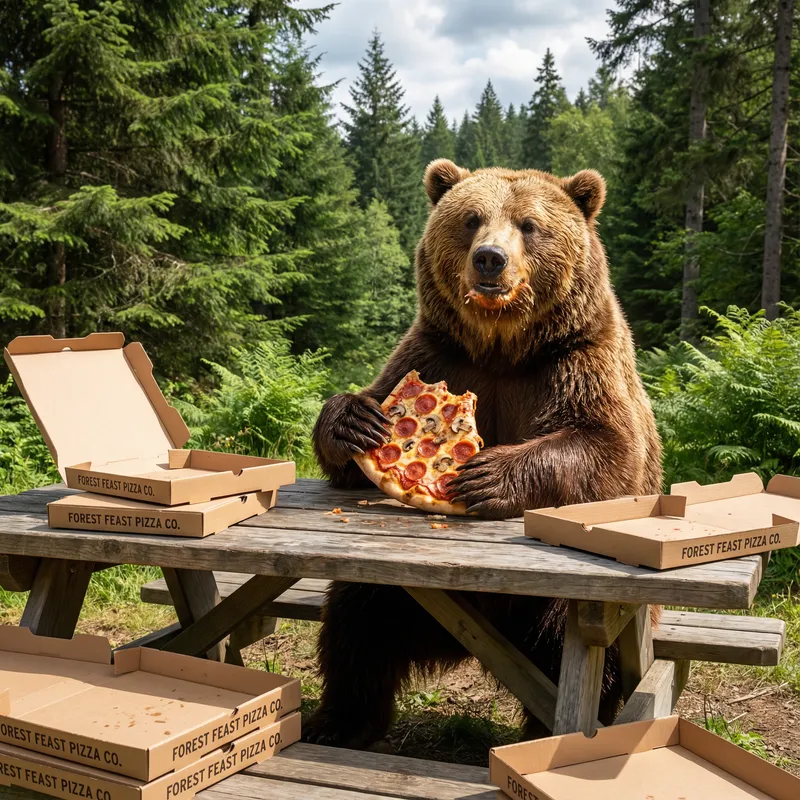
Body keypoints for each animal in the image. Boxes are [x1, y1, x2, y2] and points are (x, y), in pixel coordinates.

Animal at [305, 159, 663, 749]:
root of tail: (469, 642)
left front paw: (485, 475)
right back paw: (339, 721)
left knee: (580, 651)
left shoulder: (577, 360)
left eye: (529, 225)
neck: (503, 346)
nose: (489, 258)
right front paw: (356, 420)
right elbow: (361, 431)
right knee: (359, 623)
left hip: (554, 612)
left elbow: (607, 449)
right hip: (404, 601)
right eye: (472, 219)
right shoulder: (437, 351)